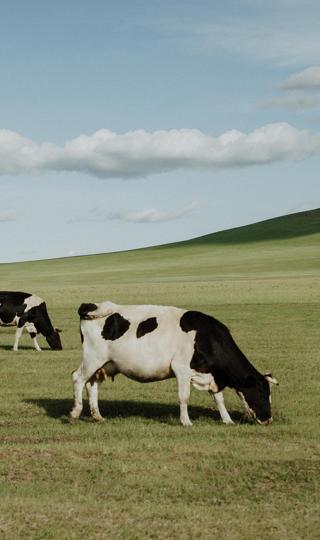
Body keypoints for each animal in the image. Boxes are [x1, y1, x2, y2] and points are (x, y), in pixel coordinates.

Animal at [70, 302, 278, 424]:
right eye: (261, 391)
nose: (268, 418)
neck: (205, 336)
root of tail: (91, 306)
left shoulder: (211, 374)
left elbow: (219, 398)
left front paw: (227, 420)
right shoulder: (182, 369)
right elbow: (184, 397)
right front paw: (186, 422)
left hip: (105, 364)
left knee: (92, 385)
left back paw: (97, 416)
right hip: (92, 358)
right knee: (78, 378)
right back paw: (75, 413)